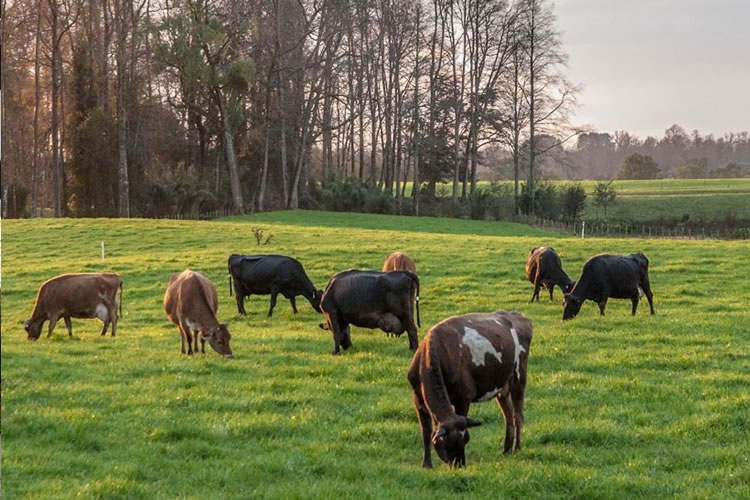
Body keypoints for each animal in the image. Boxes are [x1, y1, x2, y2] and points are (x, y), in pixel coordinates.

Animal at [406, 308, 536, 468]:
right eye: (449, 443)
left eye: (465, 440)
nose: (459, 465)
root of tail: (517, 315)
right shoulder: (418, 399)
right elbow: (425, 432)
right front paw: (426, 464)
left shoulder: (463, 398)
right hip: (502, 388)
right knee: (508, 417)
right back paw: (506, 450)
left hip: (518, 379)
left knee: (518, 416)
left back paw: (517, 448)